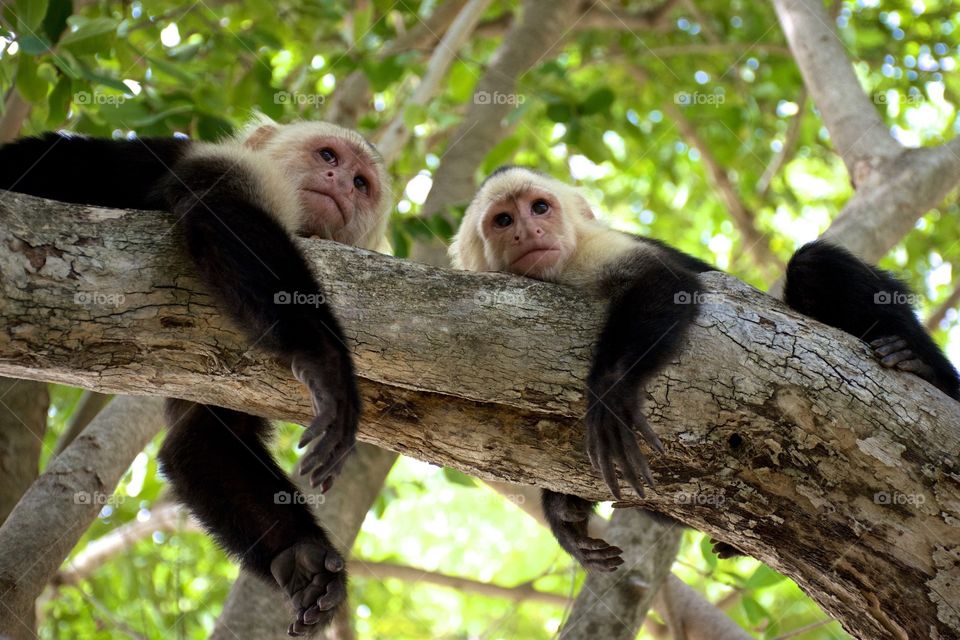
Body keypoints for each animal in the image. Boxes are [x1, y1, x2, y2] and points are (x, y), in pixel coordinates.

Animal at [0, 117, 393, 635]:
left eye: (362, 184)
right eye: (328, 156)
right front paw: (327, 361)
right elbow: (222, 210)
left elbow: (202, 441)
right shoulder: (237, 167)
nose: (341, 183)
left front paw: (303, 558)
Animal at [449, 165, 959, 571]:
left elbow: (664, 280)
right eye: (503, 220)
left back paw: (920, 364)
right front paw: (563, 514)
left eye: (539, 208)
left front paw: (611, 392)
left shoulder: (591, 249)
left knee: (813, 264)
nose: (527, 232)